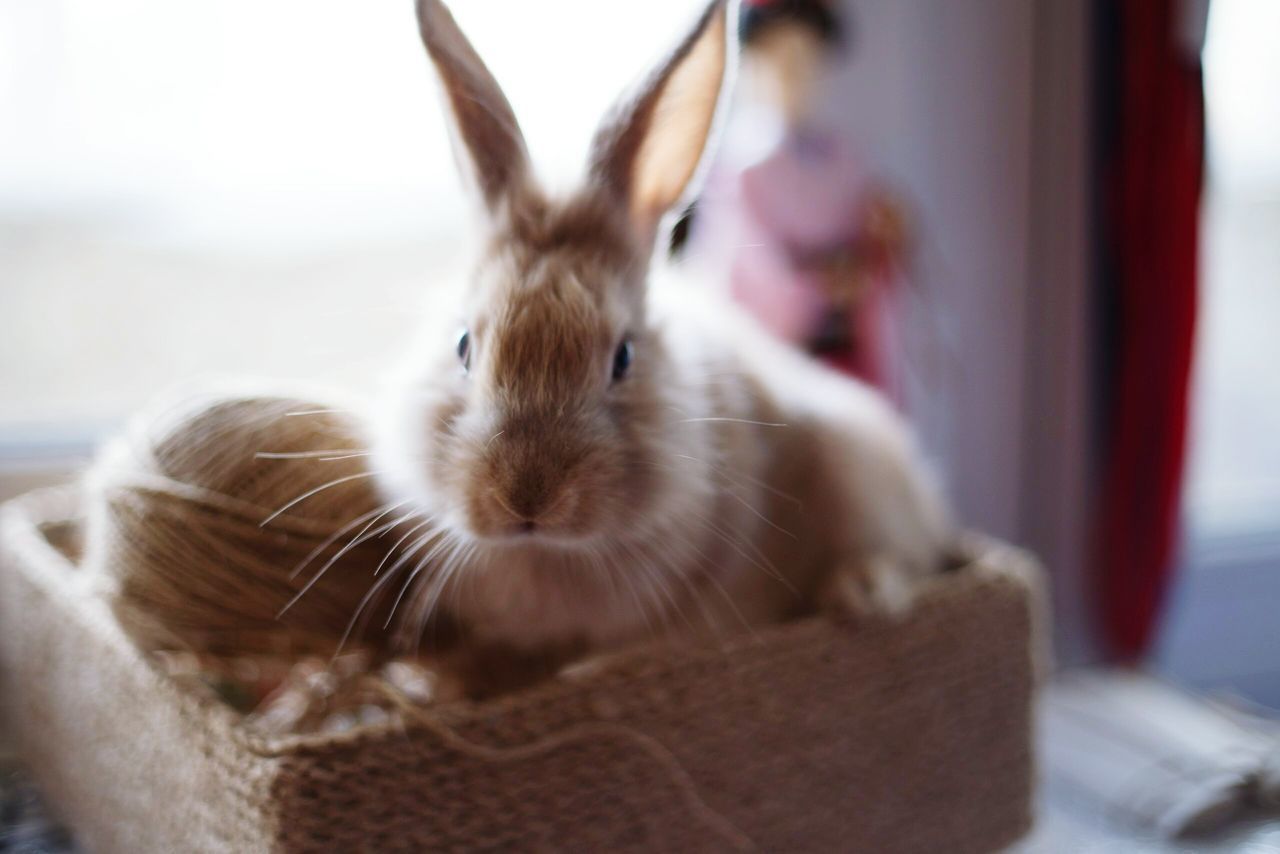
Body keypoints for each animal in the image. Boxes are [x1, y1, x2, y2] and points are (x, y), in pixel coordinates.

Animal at [368, 0, 952, 686]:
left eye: (624, 357)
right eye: (463, 345)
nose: (525, 497)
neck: (549, 553)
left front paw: (578, 672)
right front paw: (431, 678)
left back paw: (862, 592)